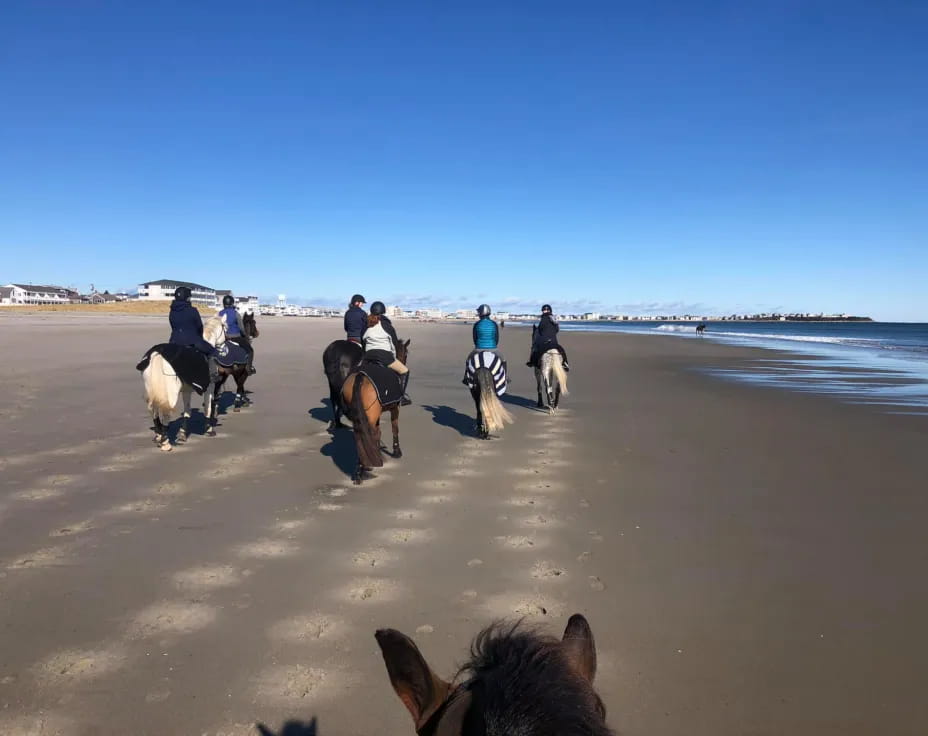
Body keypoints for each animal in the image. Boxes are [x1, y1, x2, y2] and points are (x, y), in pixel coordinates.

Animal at [140, 314, 226, 448]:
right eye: (225, 328)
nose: (225, 349)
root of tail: (158, 354)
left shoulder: (186, 390)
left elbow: (187, 411)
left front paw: (182, 433)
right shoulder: (209, 388)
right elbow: (208, 408)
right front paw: (209, 429)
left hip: (152, 389)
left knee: (153, 410)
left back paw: (158, 435)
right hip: (171, 393)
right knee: (165, 411)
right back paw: (165, 442)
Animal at [340, 338, 410, 484]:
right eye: (405, 354)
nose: (403, 360)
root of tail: (360, 376)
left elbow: (378, 433)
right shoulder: (395, 408)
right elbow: (394, 427)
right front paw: (397, 451)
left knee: (361, 435)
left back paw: (362, 468)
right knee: (368, 433)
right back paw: (362, 470)